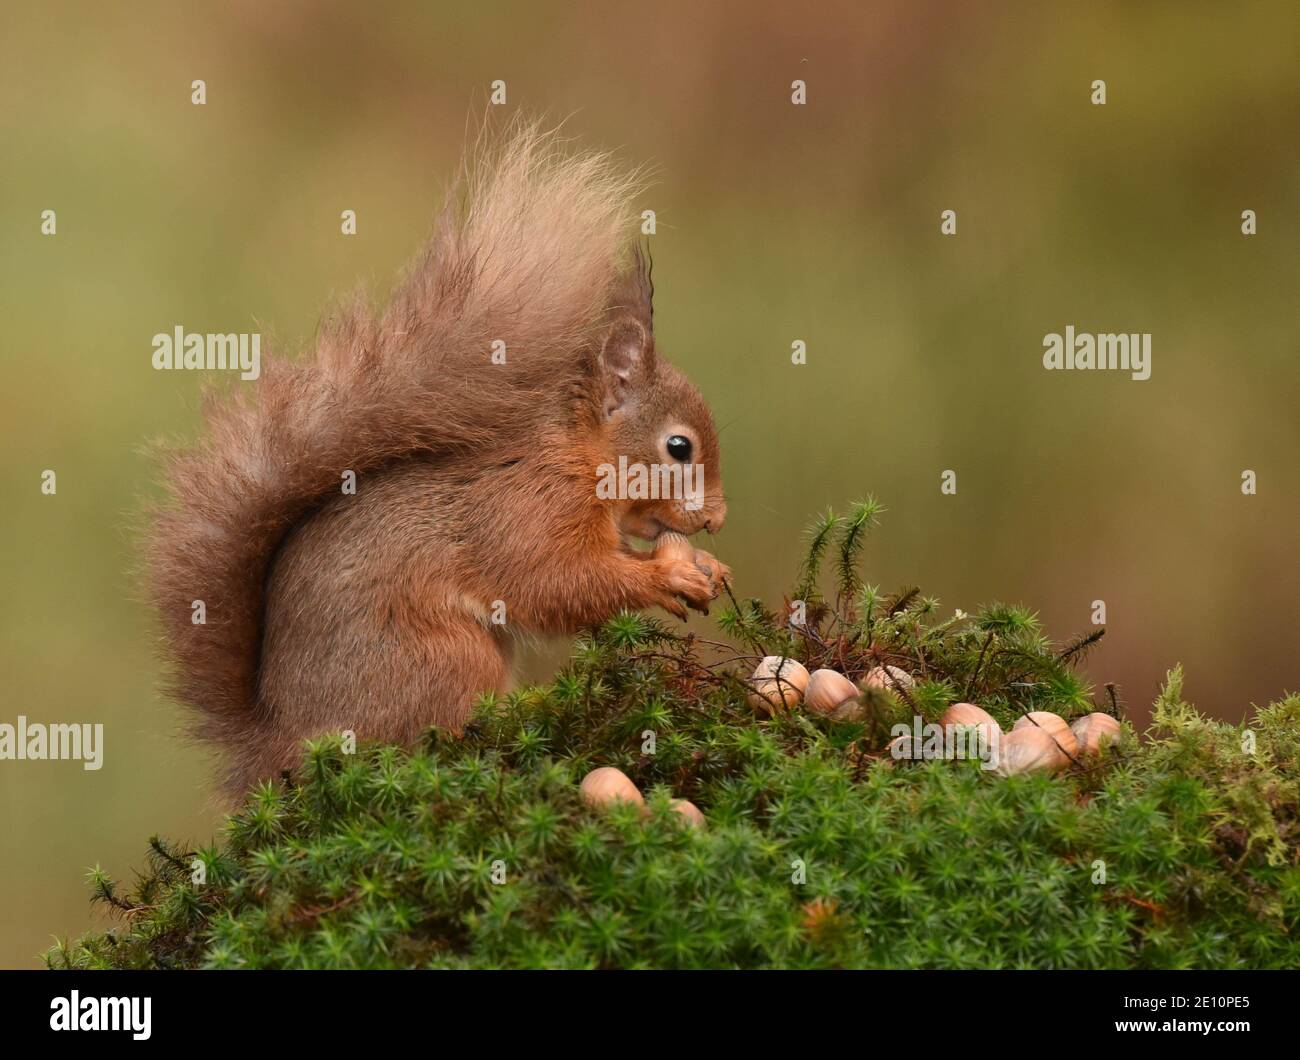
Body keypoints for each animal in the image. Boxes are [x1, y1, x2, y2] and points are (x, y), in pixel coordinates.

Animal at [148, 122, 730, 795]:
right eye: (679, 447)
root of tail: (280, 744)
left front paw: (705, 565)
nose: (717, 519)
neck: (578, 454)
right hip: (443, 657)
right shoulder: (524, 508)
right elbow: (556, 582)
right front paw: (666, 577)